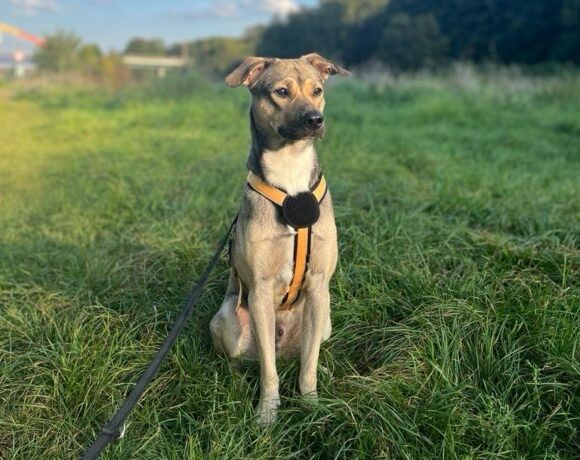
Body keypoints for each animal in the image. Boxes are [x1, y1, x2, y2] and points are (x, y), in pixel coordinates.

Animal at [211, 53, 352, 424]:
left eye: (318, 90)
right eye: (281, 92)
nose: (315, 120)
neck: (290, 172)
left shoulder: (318, 285)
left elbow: (308, 366)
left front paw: (312, 404)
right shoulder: (260, 290)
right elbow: (269, 371)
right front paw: (267, 413)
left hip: (324, 319)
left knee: (306, 353)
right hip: (225, 320)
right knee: (245, 360)